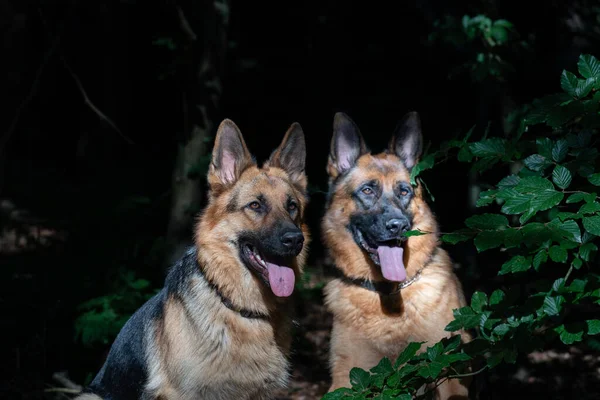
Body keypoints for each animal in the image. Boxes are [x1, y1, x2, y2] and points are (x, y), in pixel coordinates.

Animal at [322, 111, 472, 398]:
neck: (389, 295)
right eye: (367, 190)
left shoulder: (449, 373)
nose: (398, 226)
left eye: (404, 191)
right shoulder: (346, 379)